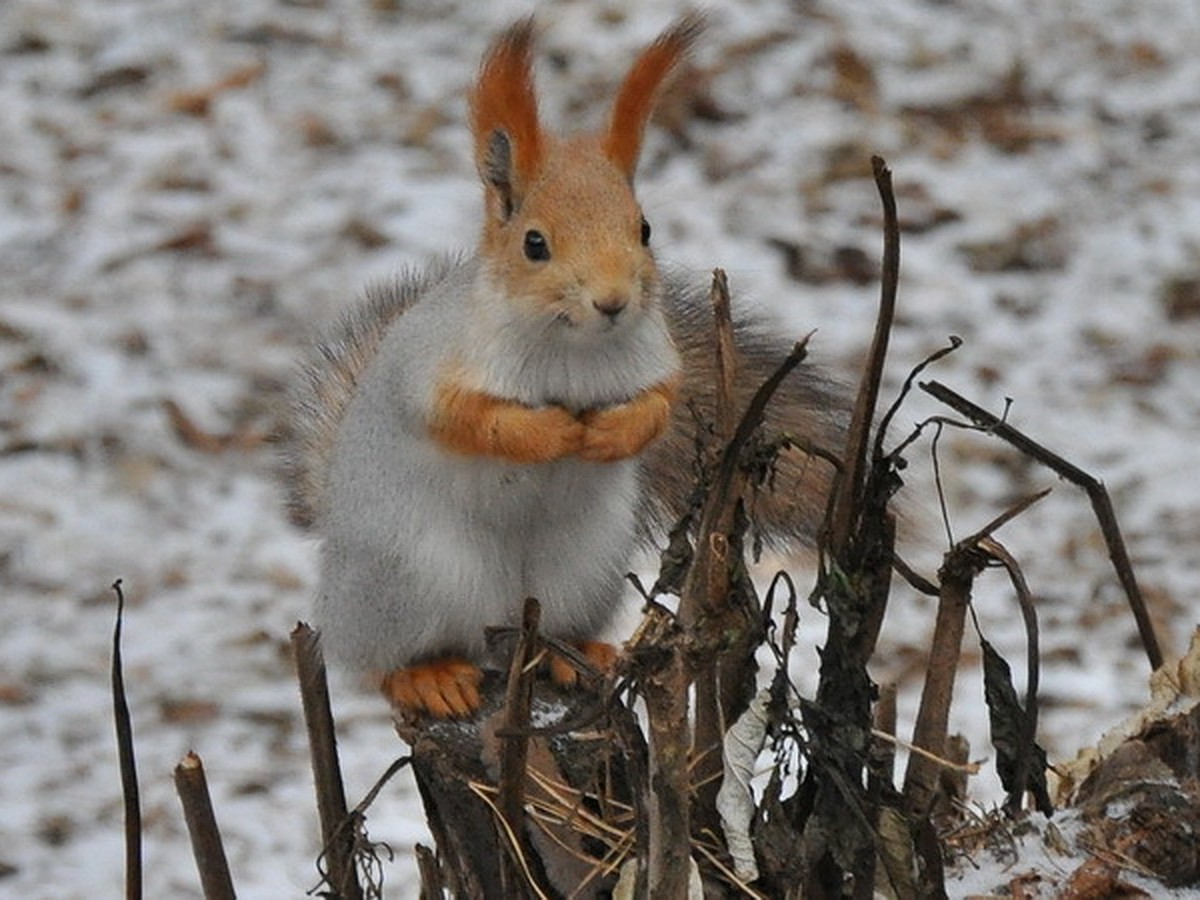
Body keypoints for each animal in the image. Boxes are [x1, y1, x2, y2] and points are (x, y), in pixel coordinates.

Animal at [280, 15, 844, 720]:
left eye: (644, 229)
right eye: (534, 244)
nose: (613, 301)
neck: (574, 348)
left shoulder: (654, 358)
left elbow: (659, 403)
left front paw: (610, 433)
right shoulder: (432, 368)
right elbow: (471, 420)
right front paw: (552, 433)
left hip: (581, 571)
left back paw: (577, 655)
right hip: (408, 581)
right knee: (377, 662)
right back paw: (427, 677)